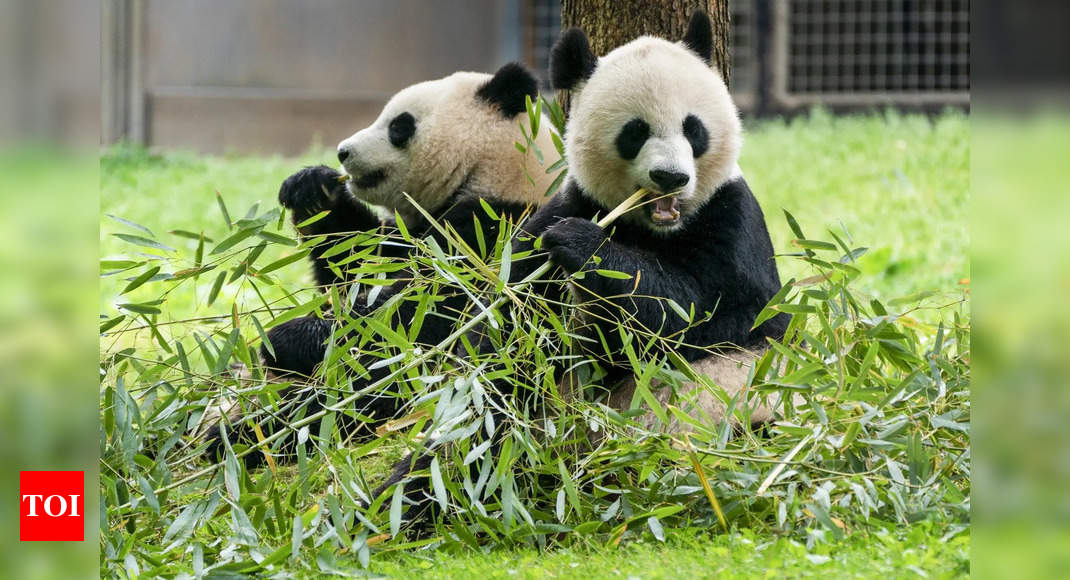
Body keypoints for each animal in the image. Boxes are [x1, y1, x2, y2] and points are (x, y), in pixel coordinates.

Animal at [203, 62, 564, 464]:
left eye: (399, 126)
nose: (343, 152)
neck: (497, 171)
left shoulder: (493, 232)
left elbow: (414, 316)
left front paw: (284, 338)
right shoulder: (409, 231)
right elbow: (353, 265)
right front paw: (313, 188)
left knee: (352, 399)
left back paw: (241, 438)